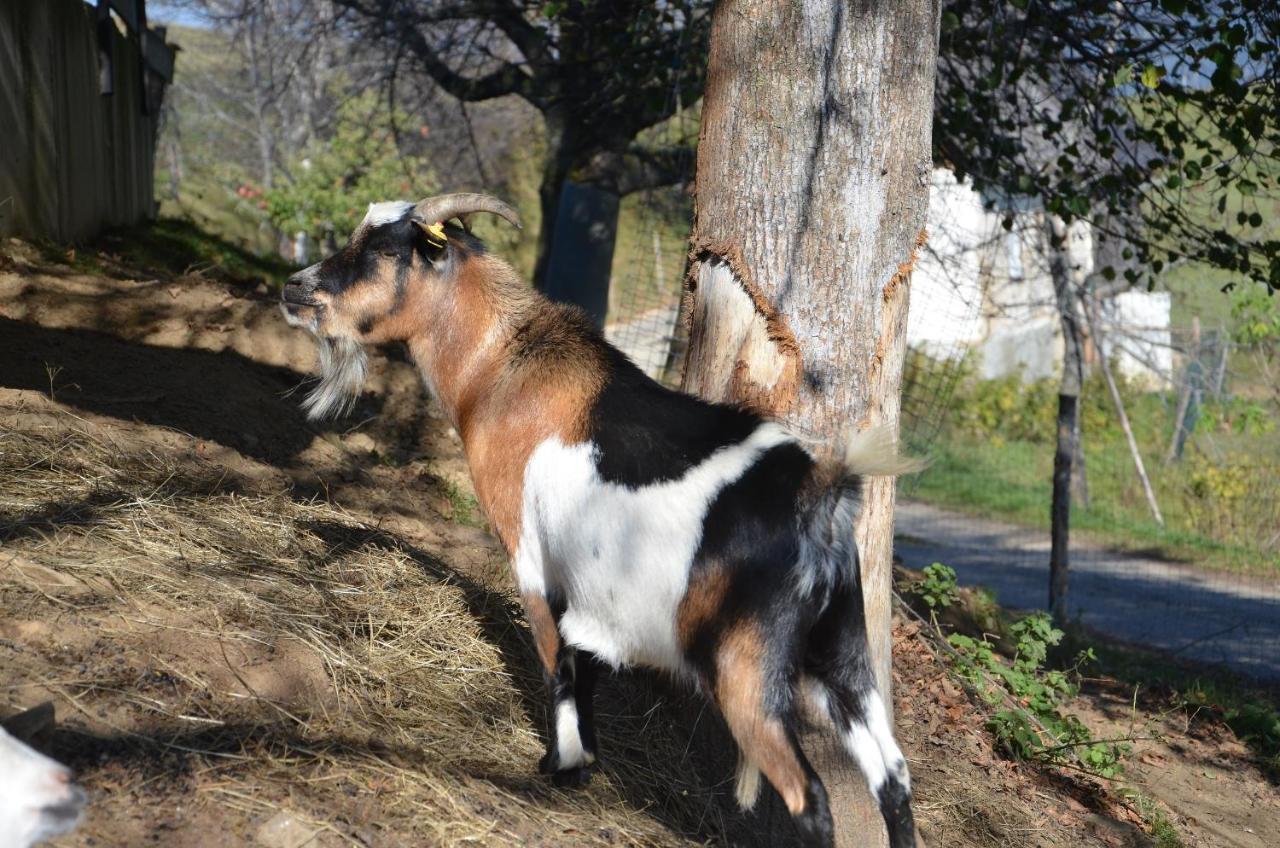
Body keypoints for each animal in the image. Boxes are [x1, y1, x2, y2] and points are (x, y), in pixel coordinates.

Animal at [281, 194, 921, 848]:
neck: (501, 369)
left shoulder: (530, 554)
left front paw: (563, 766)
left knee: (809, 795)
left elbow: (558, 661)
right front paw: (581, 760)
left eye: (386, 251)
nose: (295, 288)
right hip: (845, 652)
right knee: (893, 777)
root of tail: (821, 494)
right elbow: (582, 663)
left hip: (747, 666)